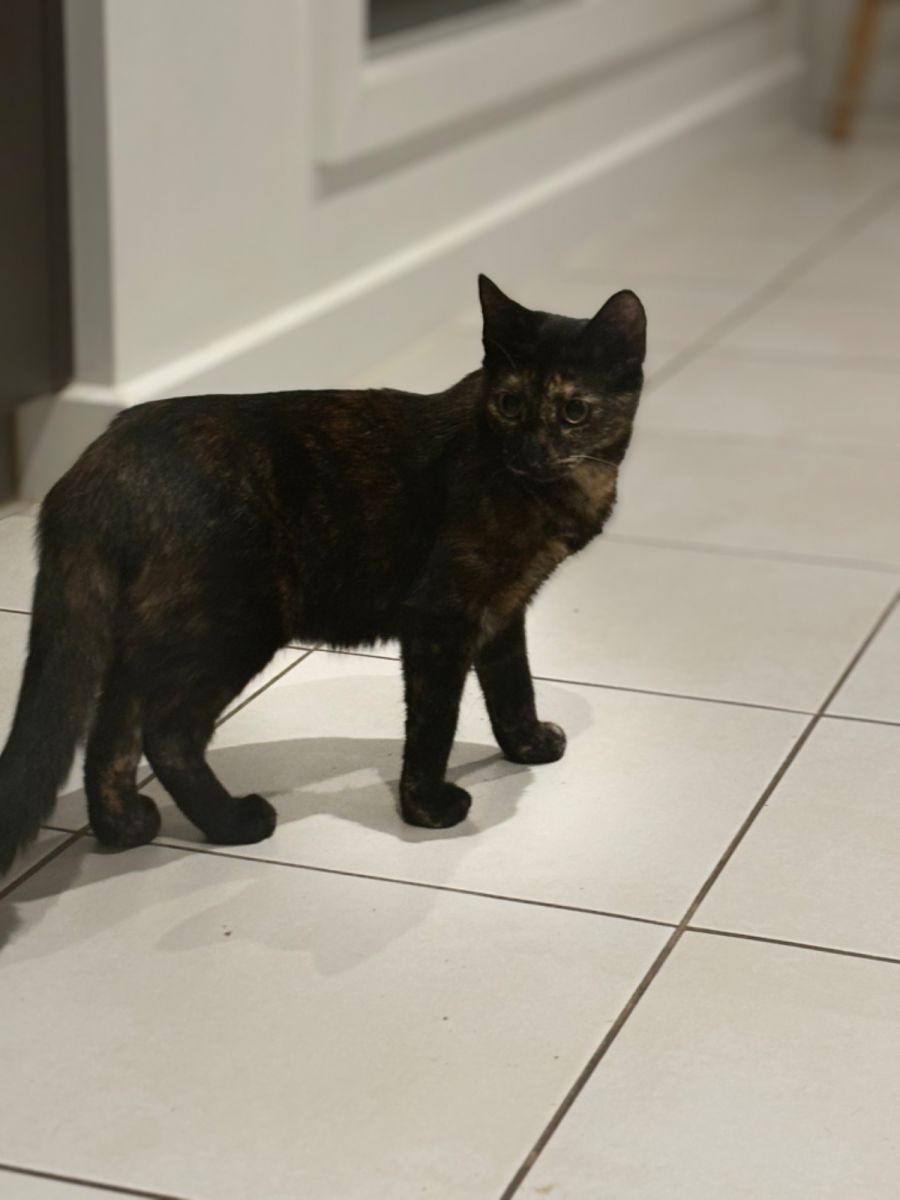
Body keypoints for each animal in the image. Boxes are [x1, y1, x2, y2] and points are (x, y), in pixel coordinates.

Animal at [0, 275, 646, 875]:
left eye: (573, 411)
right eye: (510, 405)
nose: (530, 451)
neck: (557, 488)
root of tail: (100, 461)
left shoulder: (505, 604)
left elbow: (514, 683)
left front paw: (527, 745)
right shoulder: (441, 614)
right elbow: (435, 719)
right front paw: (426, 809)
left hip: (155, 632)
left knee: (110, 731)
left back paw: (124, 826)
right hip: (233, 624)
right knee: (166, 732)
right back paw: (234, 822)